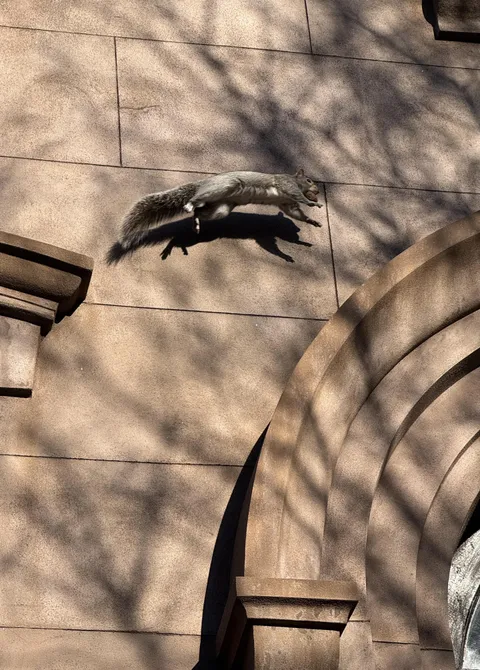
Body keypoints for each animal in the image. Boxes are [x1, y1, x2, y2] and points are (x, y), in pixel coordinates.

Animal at [118, 169, 323, 247]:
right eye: (309, 180)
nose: (318, 191)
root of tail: (204, 183)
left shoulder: (286, 203)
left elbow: (294, 212)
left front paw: (311, 221)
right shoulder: (287, 185)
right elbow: (298, 196)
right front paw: (313, 204)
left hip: (221, 208)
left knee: (200, 212)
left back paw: (196, 222)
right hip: (226, 186)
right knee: (196, 200)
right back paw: (190, 204)